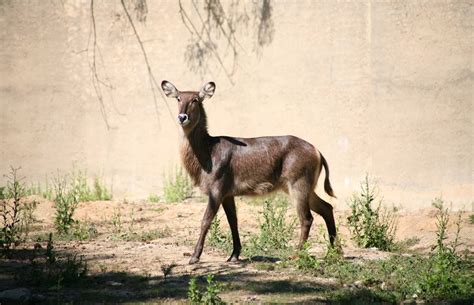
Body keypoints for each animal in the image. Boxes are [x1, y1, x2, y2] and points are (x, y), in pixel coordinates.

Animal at [162, 81, 336, 264]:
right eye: (178, 98)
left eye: (195, 99)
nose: (182, 117)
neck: (208, 153)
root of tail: (318, 152)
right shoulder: (228, 194)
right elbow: (233, 221)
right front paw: (234, 255)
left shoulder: (217, 189)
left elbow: (205, 220)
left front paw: (194, 257)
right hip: (306, 187)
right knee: (327, 207)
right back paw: (334, 252)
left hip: (298, 185)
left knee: (307, 218)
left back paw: (295, 255)